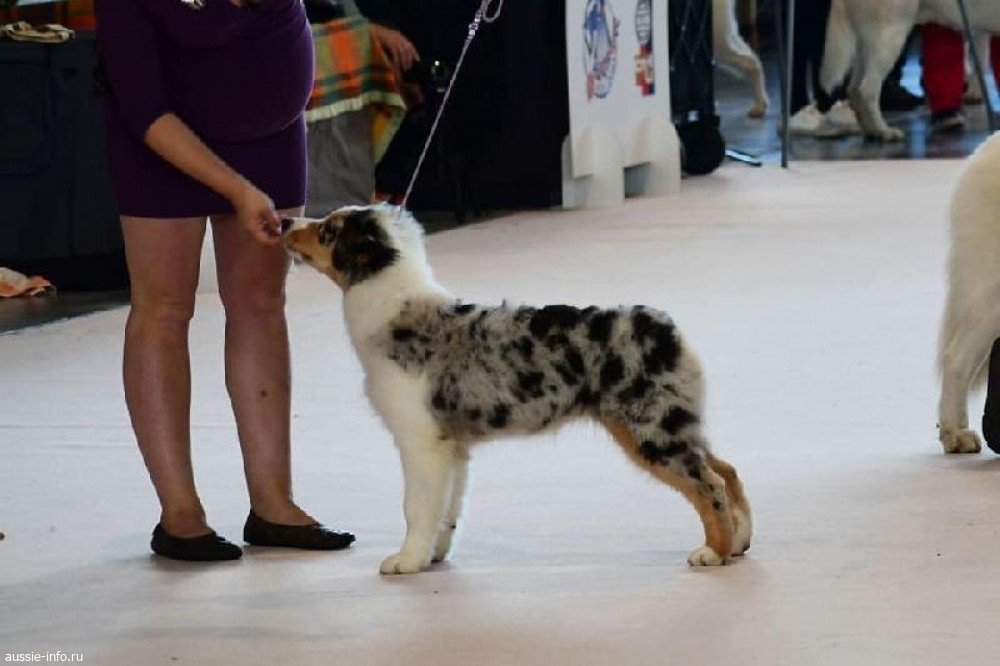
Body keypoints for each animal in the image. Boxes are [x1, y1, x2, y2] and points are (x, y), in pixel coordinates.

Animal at [282, 205, 753, 574]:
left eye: (327, 230)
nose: (285, 220)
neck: (395, 311)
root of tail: (666, 328)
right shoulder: (452, 447)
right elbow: (448, 508)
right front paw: (434, 555)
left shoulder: (420, 441)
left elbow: (416, 507)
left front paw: (407, 560)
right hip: (672, 420)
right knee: (726, 469)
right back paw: (740, 541)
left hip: (651, 428)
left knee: (709, 482)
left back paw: (714, 552)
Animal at [821, 0, 1000, 141]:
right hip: (889, 37)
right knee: (867, 90)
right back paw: (884, 132)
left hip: (866, 47)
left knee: (853, 89)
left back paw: (870, 131)